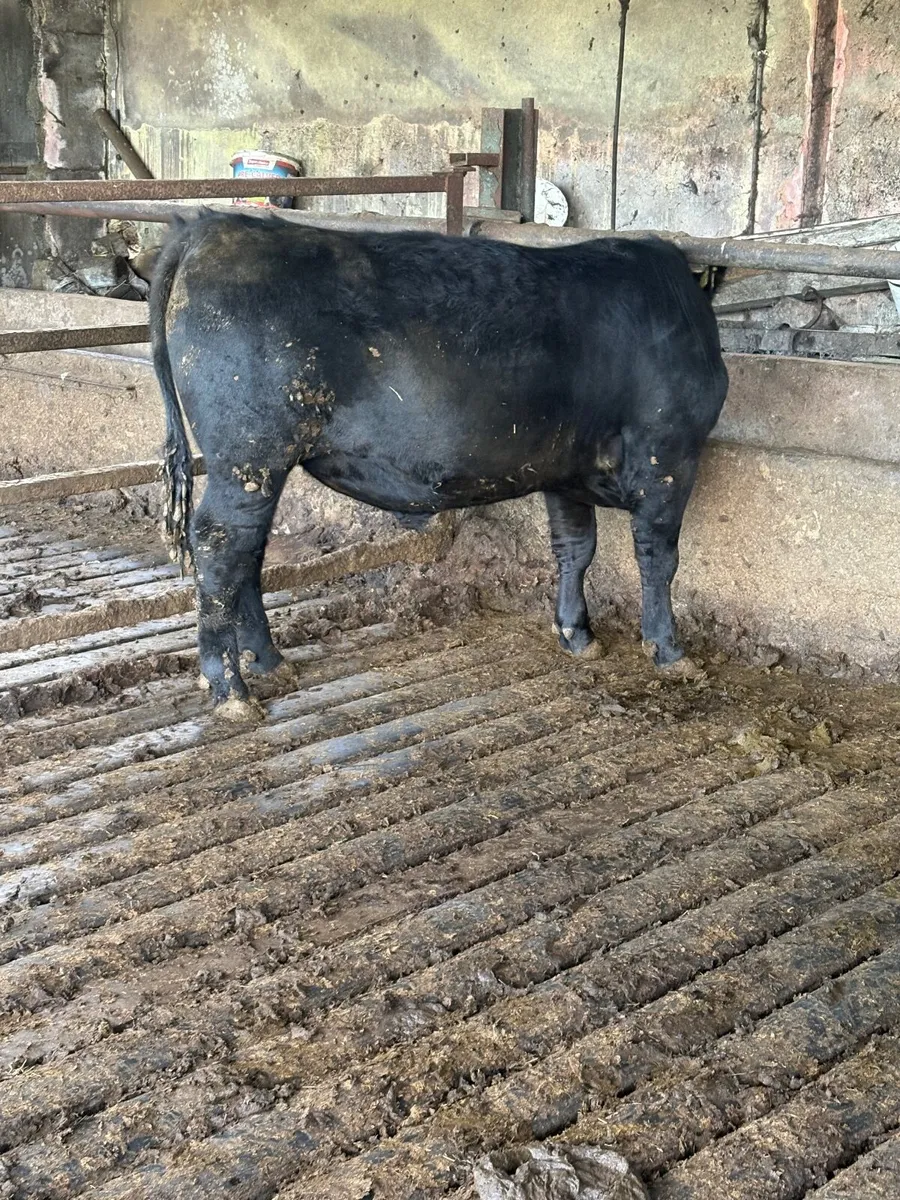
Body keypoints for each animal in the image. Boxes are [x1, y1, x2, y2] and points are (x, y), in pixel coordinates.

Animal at [149, 210, 728, 719]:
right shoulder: (668, 454)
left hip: (256, 466)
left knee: (247, 551)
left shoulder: (565, 469)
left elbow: (575, 549)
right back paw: (230, 689)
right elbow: (658, 558)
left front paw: (577, 634)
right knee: (221, 545)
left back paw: (267, 660)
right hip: (250, 453)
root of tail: (211, 226)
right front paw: (669, 650)